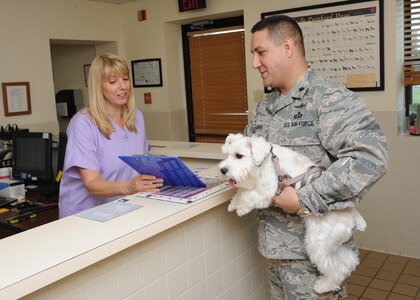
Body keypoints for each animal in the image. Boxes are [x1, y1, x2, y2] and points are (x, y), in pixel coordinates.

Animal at [218, 133, 366, 292]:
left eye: (239, 155)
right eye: (226, 154)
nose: (223, 170)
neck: (267, 159)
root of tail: (353, 216)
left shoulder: (268, 189)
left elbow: (248, 195)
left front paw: (241, 208)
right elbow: (242, 192)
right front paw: (233, 203)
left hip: (319, 244)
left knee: (336, 269)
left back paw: (323, 286)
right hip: (334, 245)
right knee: (348, 261)